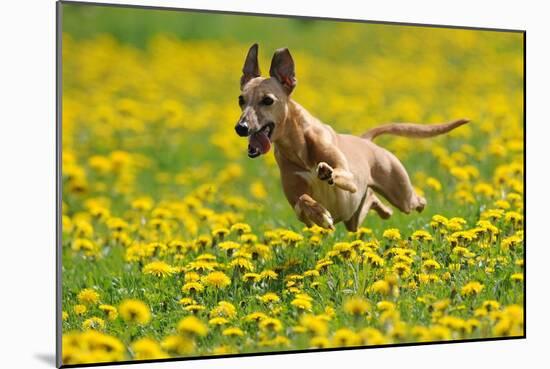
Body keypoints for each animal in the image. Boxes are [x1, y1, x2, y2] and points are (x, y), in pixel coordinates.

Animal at [235, 44, 472, 231]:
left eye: (267, 100)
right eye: (241, 100)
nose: (241, 127)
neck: (298, 146)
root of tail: (365, 140)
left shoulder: (348, 176)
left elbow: (339, 173)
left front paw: (327, 172)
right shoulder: (296, 203)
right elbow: (303, 202)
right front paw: (321, 214)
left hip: (402, 195)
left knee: (417, 201)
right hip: (354, 219)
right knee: (373, 203)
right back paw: (381, 209)